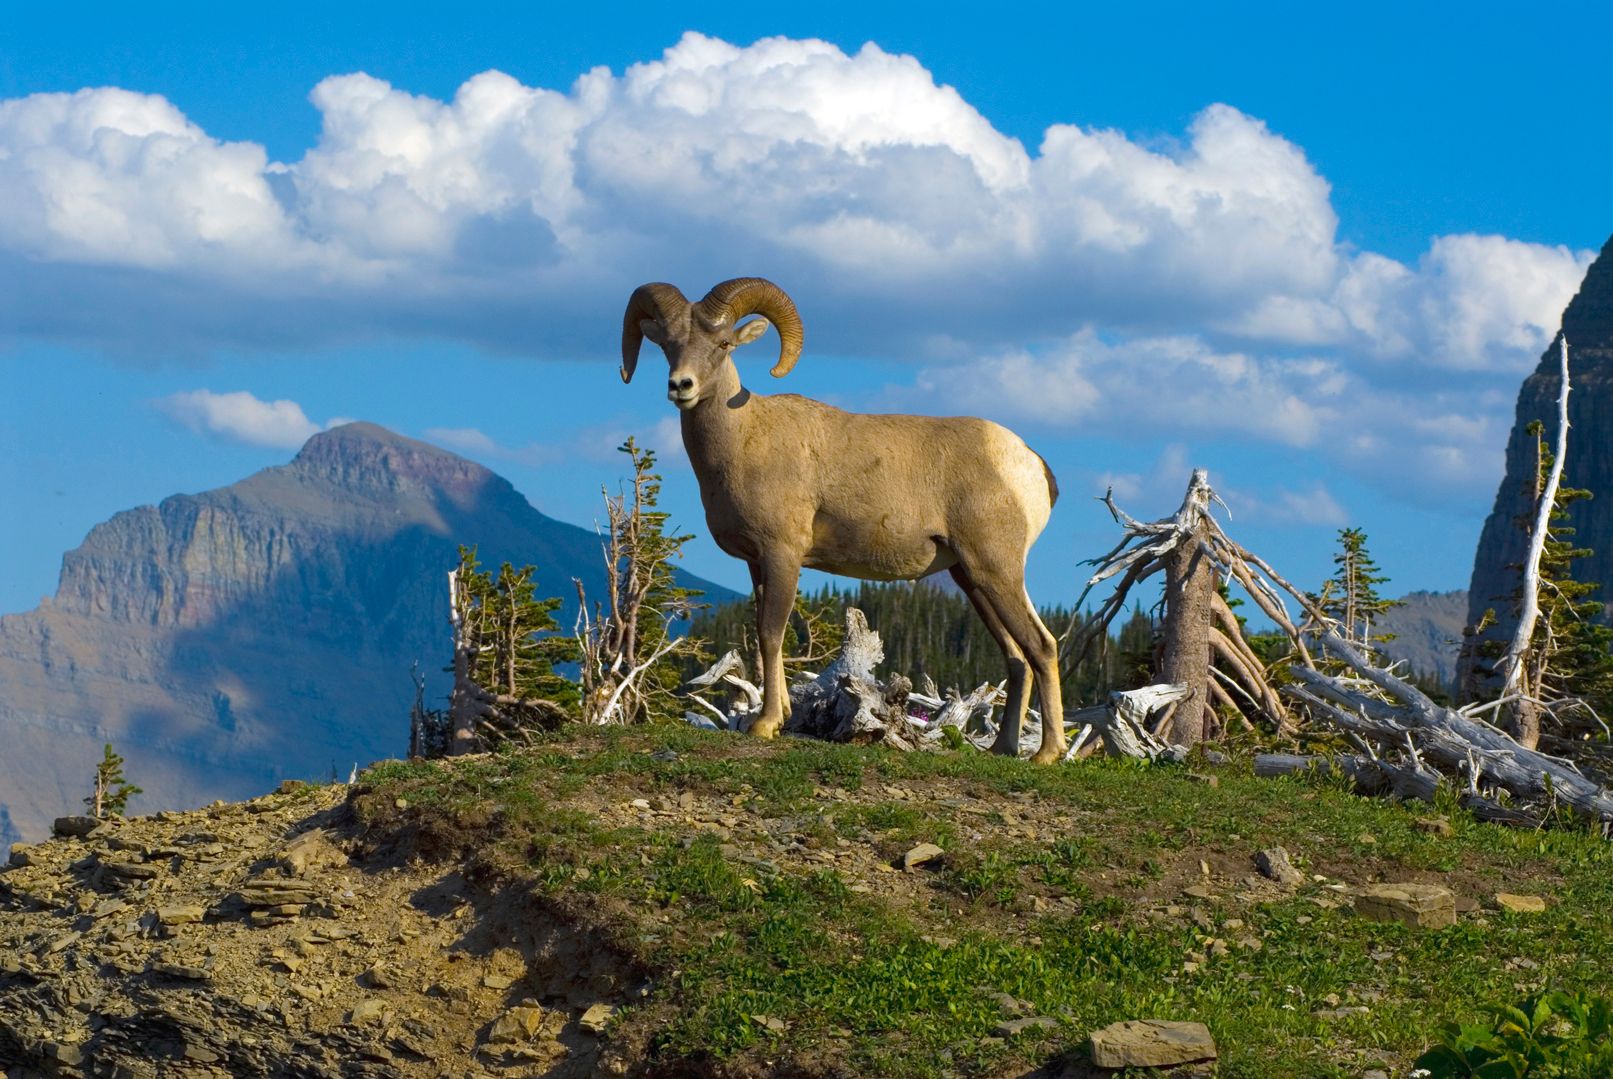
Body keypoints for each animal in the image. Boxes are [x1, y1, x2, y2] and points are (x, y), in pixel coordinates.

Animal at [620, 277, 1067, 763]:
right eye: (669, 344)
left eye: (722, 345)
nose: (681, 386)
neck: (743, 440)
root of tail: (1031, 463)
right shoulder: (757, 563)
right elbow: (764, 636)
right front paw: (775, 718)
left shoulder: (782, 554)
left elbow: (771, 633)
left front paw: (765, 725)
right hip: (971, 579)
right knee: (1017, 657)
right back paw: (1003, 749)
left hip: (996, 570)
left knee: (1042, 646)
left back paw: (1048, 753)